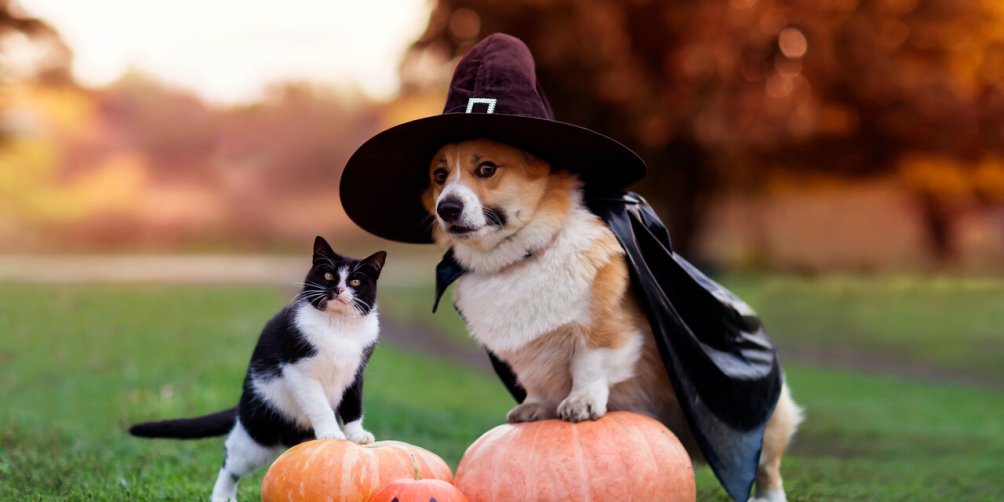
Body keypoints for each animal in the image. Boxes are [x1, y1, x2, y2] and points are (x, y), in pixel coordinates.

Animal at [130, 236, 387, 501]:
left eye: (355, 281)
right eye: (327, 275)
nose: (337, 290)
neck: (339, 328)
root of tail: (242, 403)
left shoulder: (356, 373)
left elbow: (353, 406)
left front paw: (357, 436)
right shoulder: (299, 370)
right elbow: (319, 405)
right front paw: (331, 433)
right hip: (257, 430)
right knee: (231, 460)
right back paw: (222, 496)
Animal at [423, 137, 807, 501]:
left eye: (487, 168)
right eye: (439, 175)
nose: (447, 208)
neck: (521, 257)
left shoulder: (605, 330)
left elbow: (589, 365)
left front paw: (581, 403)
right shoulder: (527, 355)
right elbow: (537, 383)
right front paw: (533, 408)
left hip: (768, 419)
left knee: (767, 465)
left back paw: (767, 497)